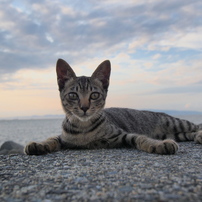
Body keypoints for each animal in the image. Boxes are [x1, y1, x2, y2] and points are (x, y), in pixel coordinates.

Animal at [24, 58, 202, 155]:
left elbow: (141, 138)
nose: (84, 107)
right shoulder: (65, 138)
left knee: (195, 126)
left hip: (175, 123)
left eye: (94, 95)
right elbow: (52, 138)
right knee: (188, 134)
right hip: (174, 132)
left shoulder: (123, 135)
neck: (83, 129)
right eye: (73, 95)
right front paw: (39, 144)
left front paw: (158, 145)